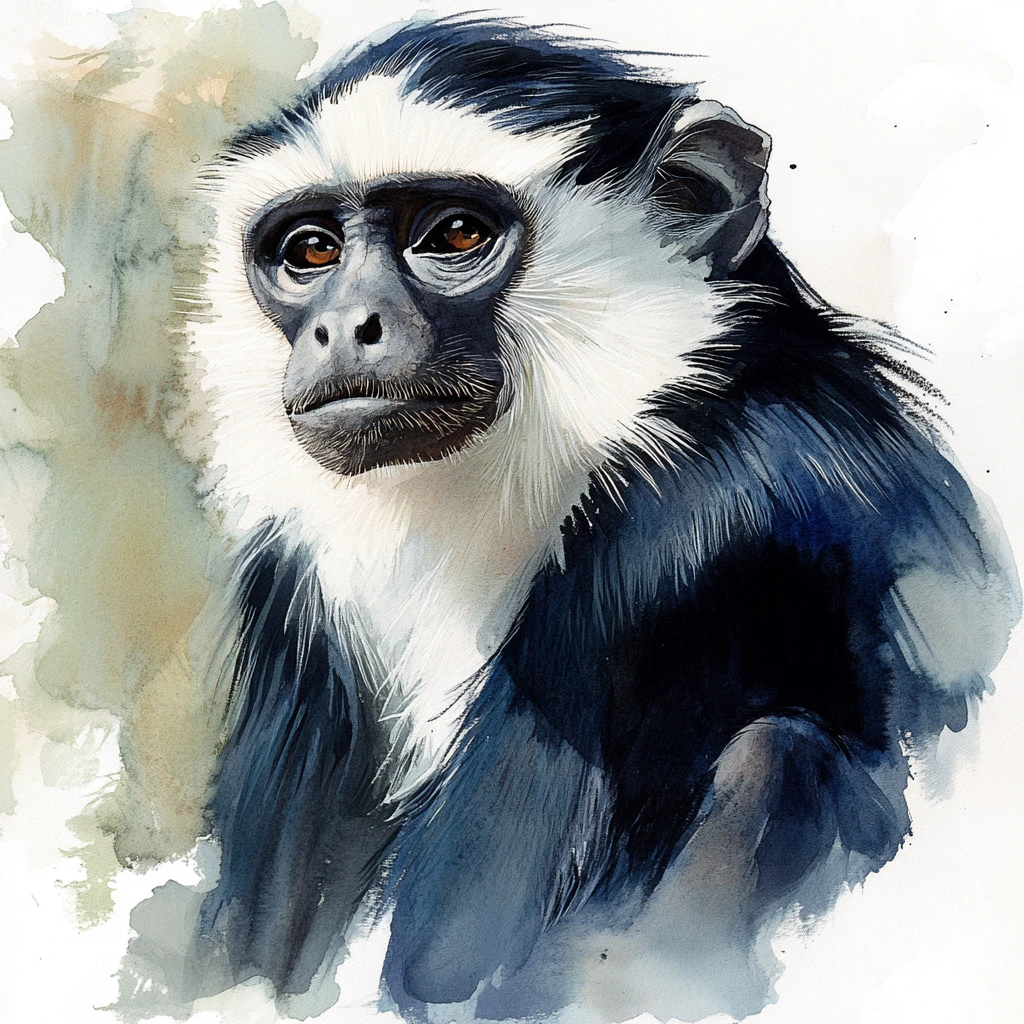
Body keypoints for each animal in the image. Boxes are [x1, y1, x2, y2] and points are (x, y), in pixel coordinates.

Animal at [176, 16, 1019, 1022]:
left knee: (783, 759)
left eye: (453, 235)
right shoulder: (295, 595)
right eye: (308, 253)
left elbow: (458, 967)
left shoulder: (689, 529)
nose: (345, 325)